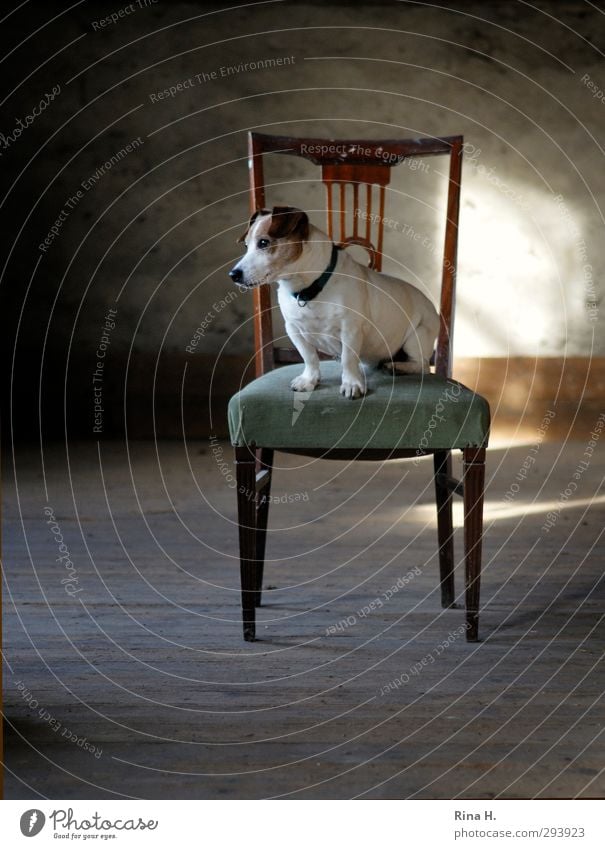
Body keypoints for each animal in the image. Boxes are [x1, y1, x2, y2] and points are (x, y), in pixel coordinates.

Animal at [228, 205, 438, 398]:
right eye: (246, 246)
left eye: (264, 242)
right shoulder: (294, 330)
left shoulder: (350, 330)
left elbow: (348, 359)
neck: (309, 288)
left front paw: (352, 384)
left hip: (417, 336)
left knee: (422, 365)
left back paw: (398, 367)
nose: (233, 275)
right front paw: (309, 380)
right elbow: (309, 357)